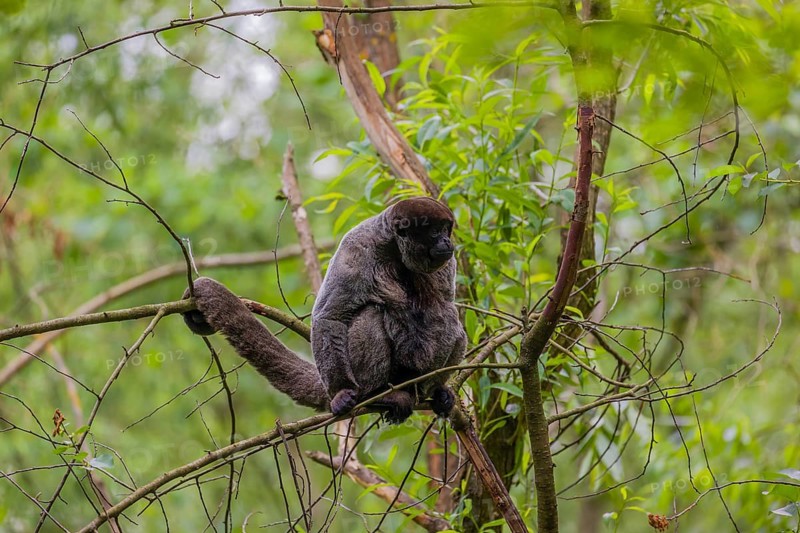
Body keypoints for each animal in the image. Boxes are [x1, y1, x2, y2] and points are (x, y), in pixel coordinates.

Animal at [182, 197, 466, 424]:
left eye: (446, 229)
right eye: (435, 232)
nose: (446, 240)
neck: (396, 251)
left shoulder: (447, 261)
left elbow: (446, 307)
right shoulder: (357, 248)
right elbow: (331, 317)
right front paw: (341, 393)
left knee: (453, 323)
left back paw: (433, 391)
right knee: (372, 315)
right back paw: (376, 395)